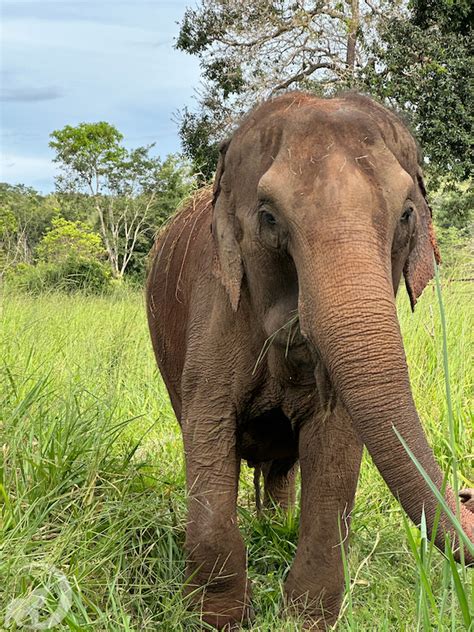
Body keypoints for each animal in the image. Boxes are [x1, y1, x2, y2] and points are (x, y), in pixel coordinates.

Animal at [146, 91, 472, 628]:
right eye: (269, 217)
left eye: (407, 214)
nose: (467, 493)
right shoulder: (215, 308)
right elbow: (208, 429)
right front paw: (219, 620)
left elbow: (335, 442)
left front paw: (304, 620)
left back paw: (274, 526)